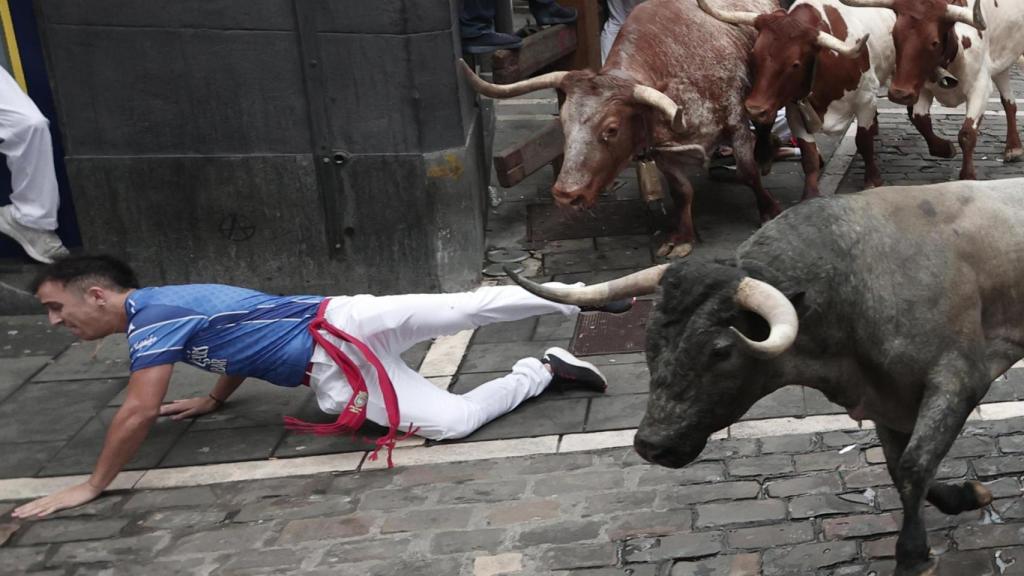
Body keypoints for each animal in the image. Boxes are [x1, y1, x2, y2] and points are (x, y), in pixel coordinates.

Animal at [460, 0, 778, 258]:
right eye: (563, 123)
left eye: (611, 129)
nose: (566, 194)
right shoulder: (660, 149)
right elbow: (682, 191)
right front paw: (682, 238)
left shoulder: (736, 123)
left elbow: (748, 172)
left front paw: (769, 210)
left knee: (764, 129)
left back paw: (767, 154)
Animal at [512, 176, 1024, 573]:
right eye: (650, 339)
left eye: (721, 350)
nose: (651, 444)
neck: (856, 281)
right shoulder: (889, 400)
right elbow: (902, 468)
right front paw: (966, 496)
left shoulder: (957, 380)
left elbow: (915, 466)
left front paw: (913, 556)